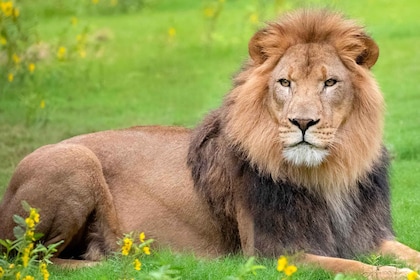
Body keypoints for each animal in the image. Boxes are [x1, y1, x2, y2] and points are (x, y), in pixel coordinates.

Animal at [0, 8, 420, 278]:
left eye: (330, 82)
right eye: (284, 83)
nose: (302, 122)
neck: (328, 174)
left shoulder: (366, 235)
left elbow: (406, 253)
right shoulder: (275, 253)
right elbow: (351, 267)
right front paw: (392, 273)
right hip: (73, 160)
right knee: (30, 258)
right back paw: (117, 262)